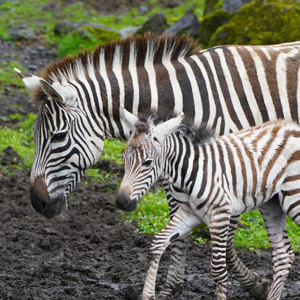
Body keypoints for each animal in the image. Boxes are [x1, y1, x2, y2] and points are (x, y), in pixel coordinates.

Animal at [116, 110, 300, 300]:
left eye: (147, 162)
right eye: (124, 158)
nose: (121, 202)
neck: (189, 171)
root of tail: (293, 127)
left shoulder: (220, 214)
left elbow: (218, 270)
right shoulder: (188, 213)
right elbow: (158, 242)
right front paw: (148, 294)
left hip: (294, 197)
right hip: (272, 205)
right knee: (283, 256)